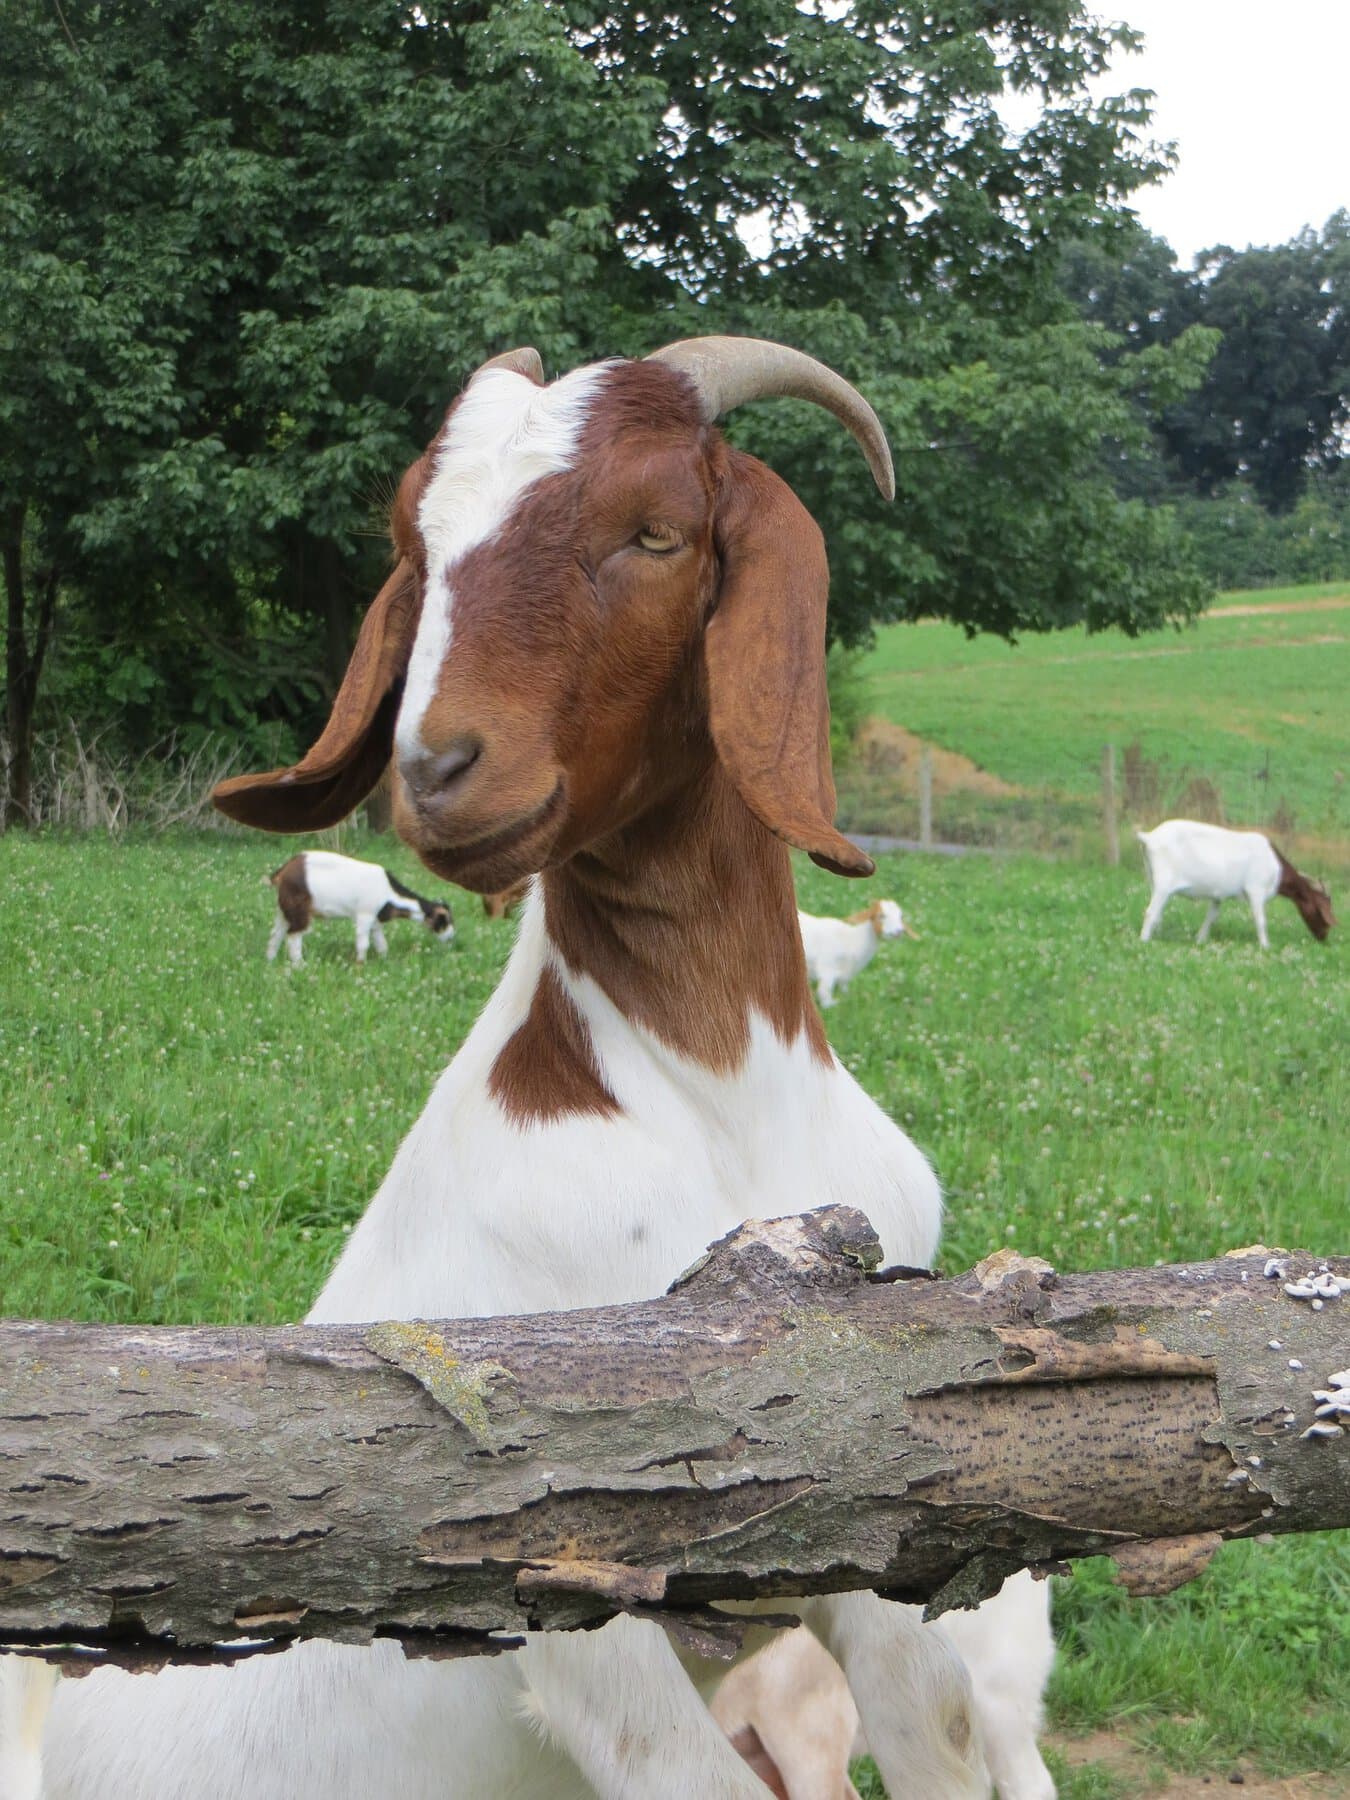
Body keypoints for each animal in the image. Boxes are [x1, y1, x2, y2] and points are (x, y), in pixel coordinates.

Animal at [266, 850, 454, 964]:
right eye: (443, 920)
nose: (452, 938)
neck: (388, 892)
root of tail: (283, 871)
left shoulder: (375, 921)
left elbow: (381, 943)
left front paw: (384, 961)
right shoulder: (365, 914)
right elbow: (363, 943)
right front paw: (360, 965)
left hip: (284, 908)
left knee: (276, 932)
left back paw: (270, 960)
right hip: (299, 908)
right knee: (293, 934)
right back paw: (300, 965)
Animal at [1137, 820, 1334, 948]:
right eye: (1321, 911)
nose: (1324, 938)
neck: (1276, 867)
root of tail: (1149, 838)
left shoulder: (1218, 895)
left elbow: (1212, 917)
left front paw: (1200, 940)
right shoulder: (1256, 889)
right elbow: (1260, 920)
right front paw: (1265, 946)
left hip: (1153, 879)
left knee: (1158, 912)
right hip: (1164, 883)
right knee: (1150, 912)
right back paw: (1144, 940)